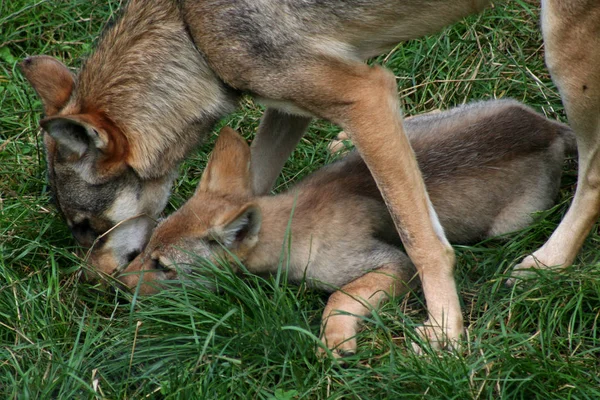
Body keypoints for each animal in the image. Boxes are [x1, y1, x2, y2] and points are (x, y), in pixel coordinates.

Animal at [19, 0, 600, 350]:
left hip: (567, 54)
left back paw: (547, 263)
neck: (193, 33)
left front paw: (443, 335)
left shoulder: (365, 95)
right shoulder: (292, 106)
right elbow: (247, 189)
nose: (92, 283)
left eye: (85, 227)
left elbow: (423, 242)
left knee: (591, 175)